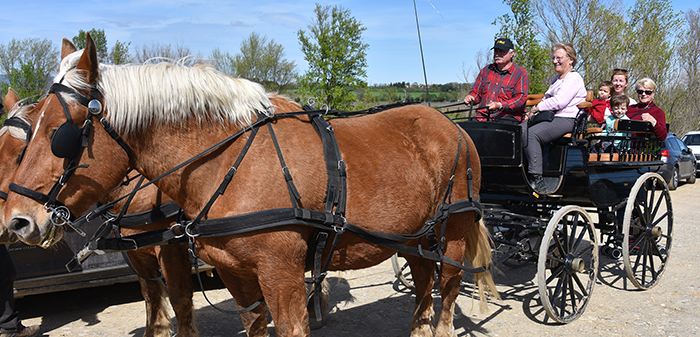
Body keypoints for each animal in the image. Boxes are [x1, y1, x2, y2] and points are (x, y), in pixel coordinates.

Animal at [0, 88, 197, 334]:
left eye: (20, 154)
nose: (14, 222)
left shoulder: (171, 247)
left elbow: (180, 299)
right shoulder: (136, 250)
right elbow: (151, 298)